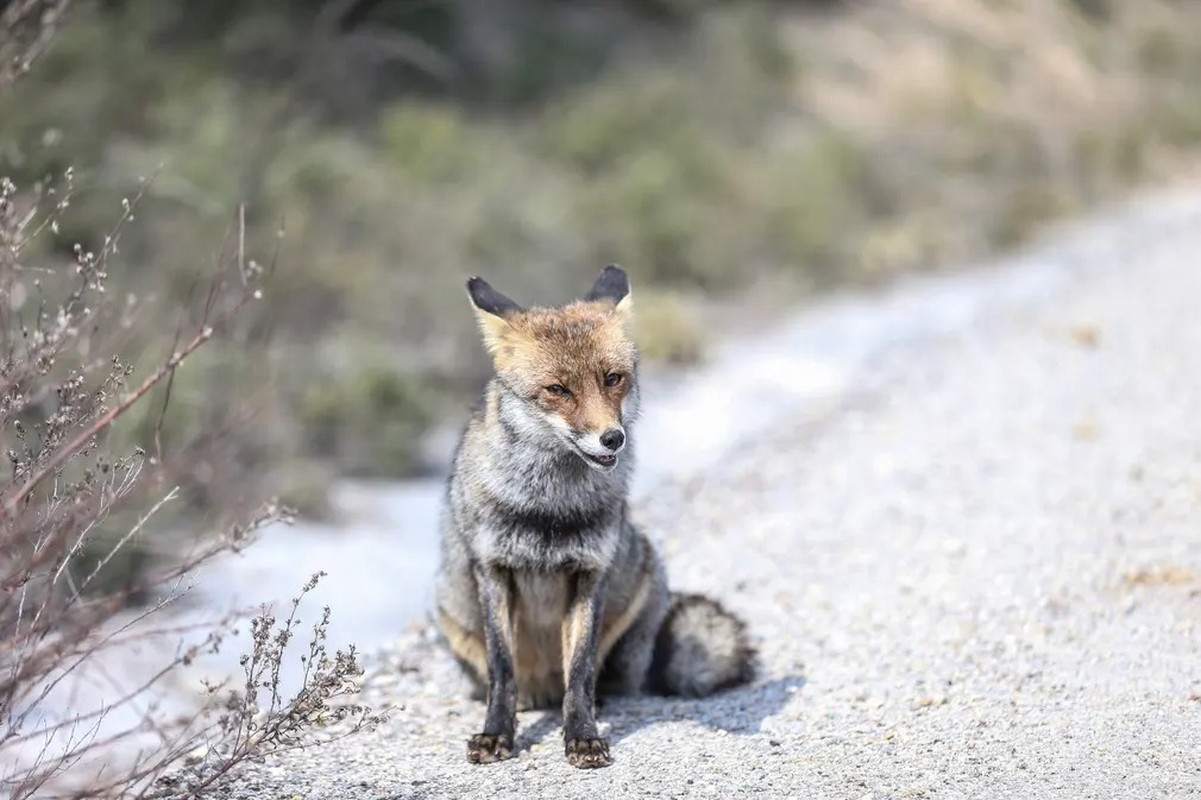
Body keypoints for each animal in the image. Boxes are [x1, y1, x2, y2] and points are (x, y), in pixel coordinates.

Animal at [432, 264, 754, 763]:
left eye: (612, 378)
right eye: (558, 390)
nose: (612, 438)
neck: (548, 511)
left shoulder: (589, 573)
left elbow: (580, 671)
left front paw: (582, 735)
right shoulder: (494, 570)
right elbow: (502, 671)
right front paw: (496, 733)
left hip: (643, 580)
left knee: (604, 678)